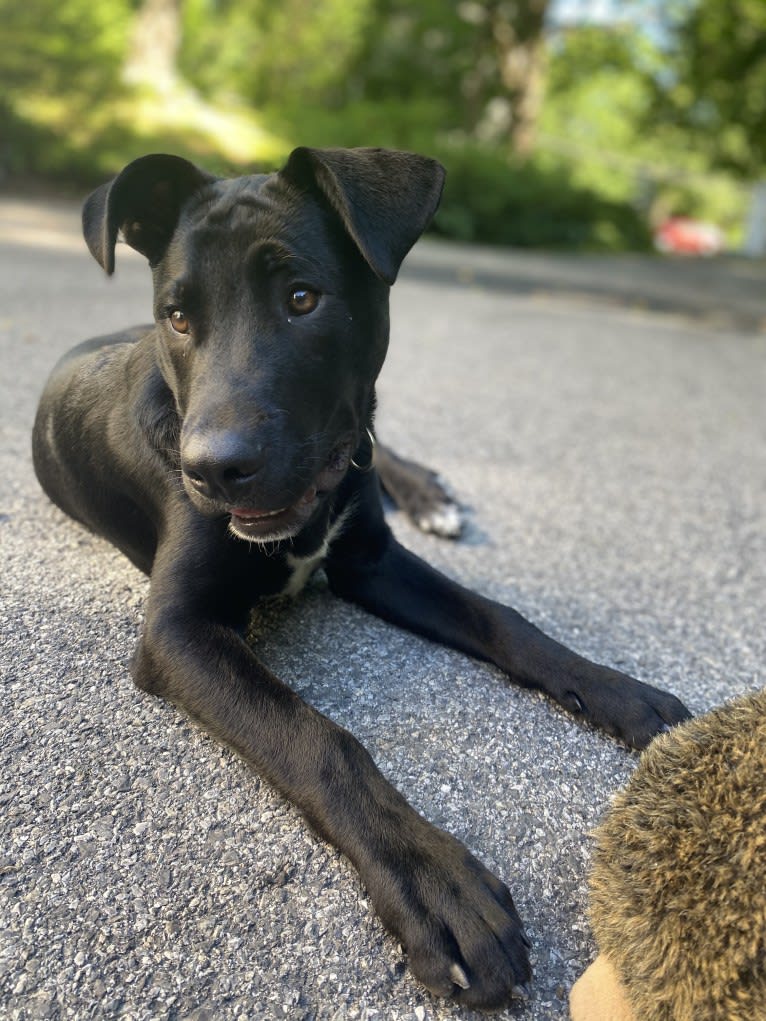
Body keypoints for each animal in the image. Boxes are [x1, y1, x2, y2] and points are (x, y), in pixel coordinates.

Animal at [31, 148, 690, 1008]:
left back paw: (429, 490)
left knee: (386, 439)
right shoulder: (176, 633)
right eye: (177, 317)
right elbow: (316, 738)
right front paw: (436, 884)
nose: (212, 469)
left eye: (302, 299)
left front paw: (617, 688)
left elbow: (503, 619)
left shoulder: (373, 558)